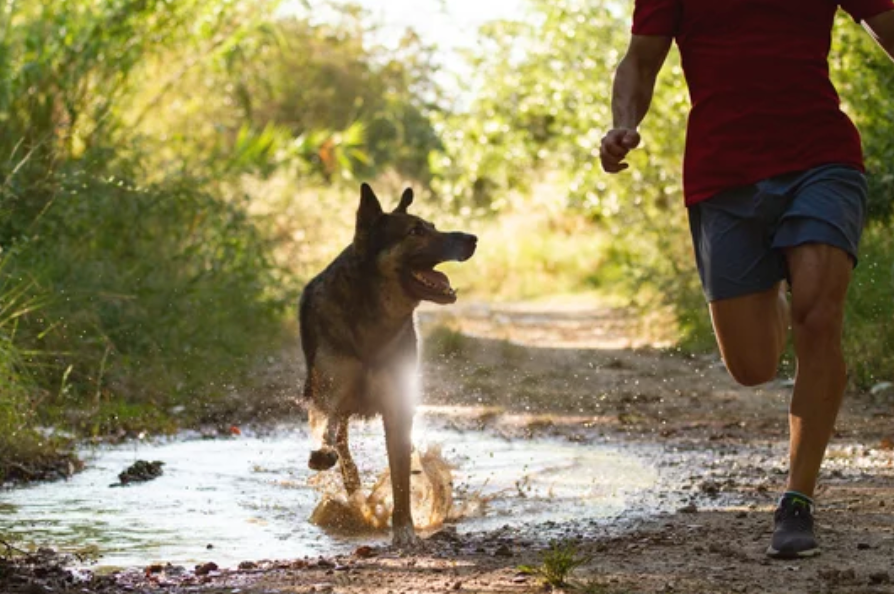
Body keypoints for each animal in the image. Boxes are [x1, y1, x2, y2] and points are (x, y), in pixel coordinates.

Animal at [300, 182, 484, 544]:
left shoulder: (398, 406)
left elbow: (400, 476)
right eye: (415, 231)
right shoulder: (331, 392)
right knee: (342, 445)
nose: (472, 238)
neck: (374, 320)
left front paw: (404, 529)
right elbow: (328, 430)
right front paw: (323, 454)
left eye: (433, 225)